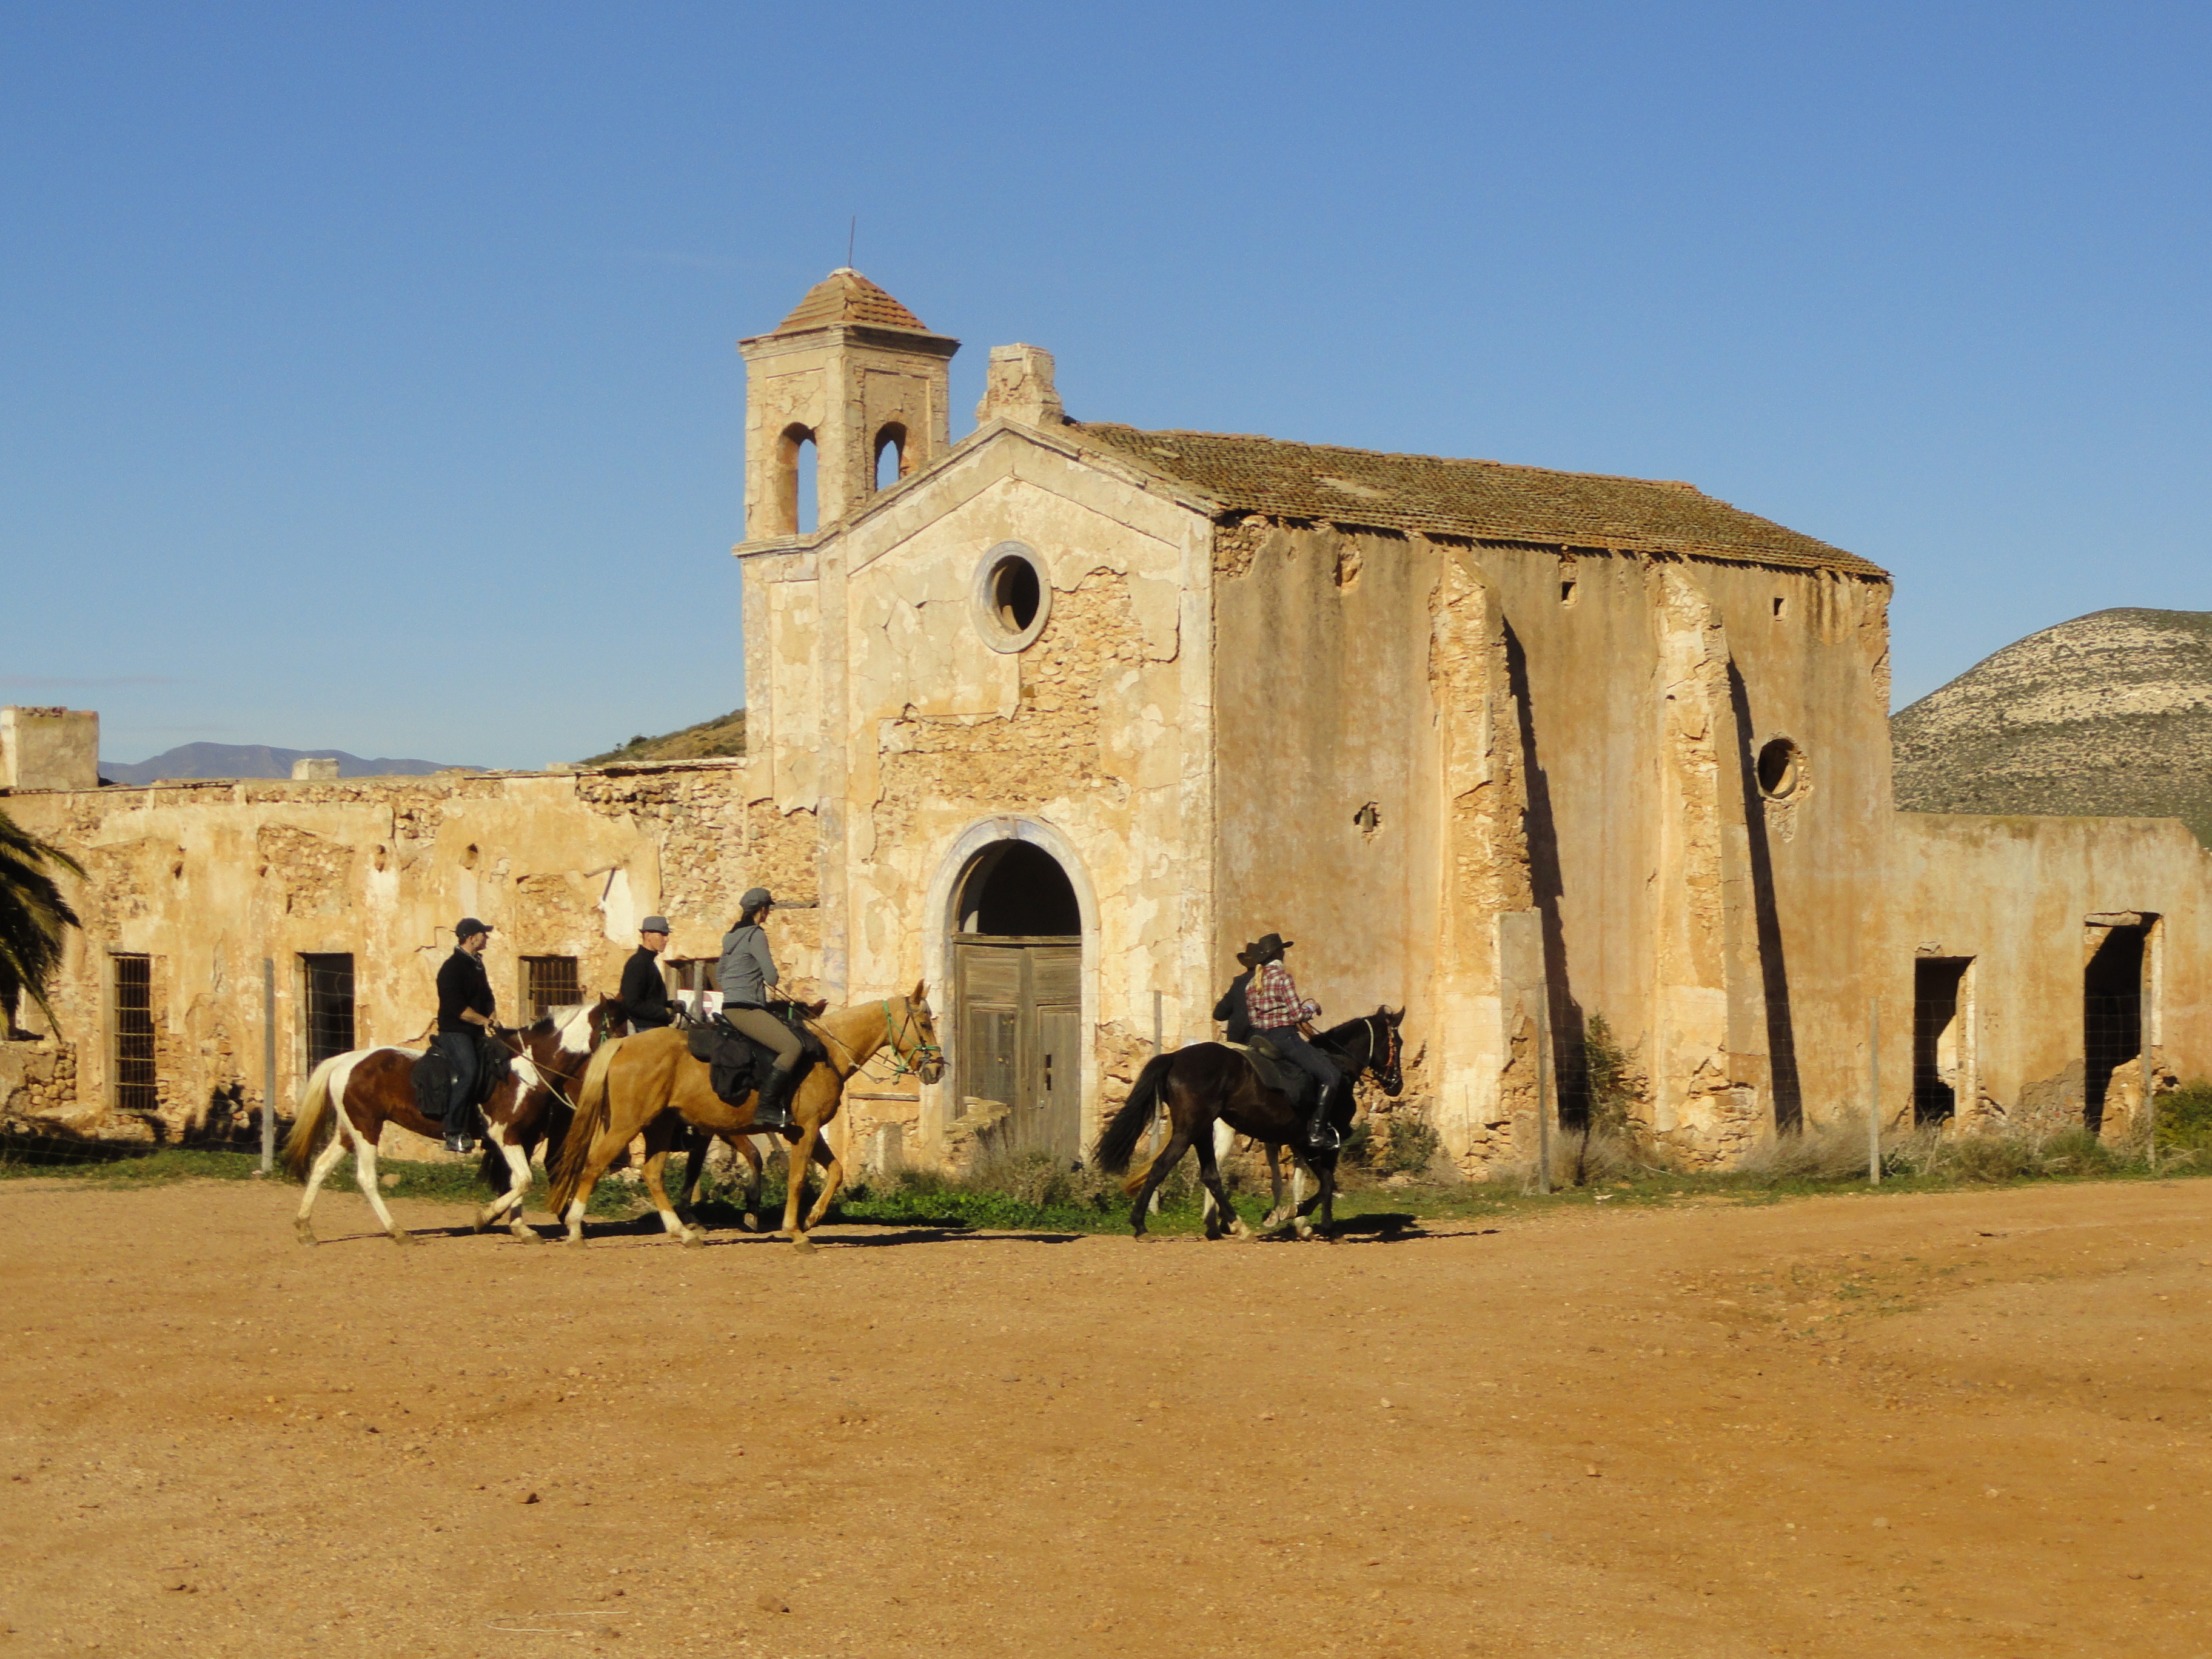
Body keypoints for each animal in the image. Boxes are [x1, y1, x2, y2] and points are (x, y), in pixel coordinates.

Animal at [283, 999, 623, 1247]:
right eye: (618, 1029)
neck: (524, 1070)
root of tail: (345, 1061)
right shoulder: (505, 1135)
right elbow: (523, 1180)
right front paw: (485, 1217)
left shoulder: (523, 1137)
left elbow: (518, 1180)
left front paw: (521, 1229)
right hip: (367, 1129)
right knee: (366, 1178)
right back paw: (398, 1232)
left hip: (349, 1130)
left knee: (321, 1166)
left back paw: (304, 1228)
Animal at [548, 995, 947, 1256]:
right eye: (925, 1023)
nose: (938, 1069)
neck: (827, 1053)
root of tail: (625, 1043)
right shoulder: (805, 1129)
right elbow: (797, 1178)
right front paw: (795, 1232)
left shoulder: (804, 1130)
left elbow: (835, 1171)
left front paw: (812, 1219)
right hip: (628, 1124)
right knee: (594, 1165)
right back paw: (575, 1230)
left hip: (658, 1125)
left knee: (652, 1173)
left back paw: (683, 1232)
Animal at [1097, 1008, 1407, 1238]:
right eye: (1399, 1042)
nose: (1396, 1085)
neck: (1339, 1066)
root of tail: (1175, 1057)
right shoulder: (1322, 1141)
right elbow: (1326, 1183)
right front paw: (1304, 1217)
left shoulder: (1300, 1142)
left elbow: (1313, 1180)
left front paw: (1301, 1219)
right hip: (1192, 1130)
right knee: (1164, 1166)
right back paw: (1142, 1224)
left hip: (1202, 1131)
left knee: (1210, 1175)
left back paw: (1233, 1225)